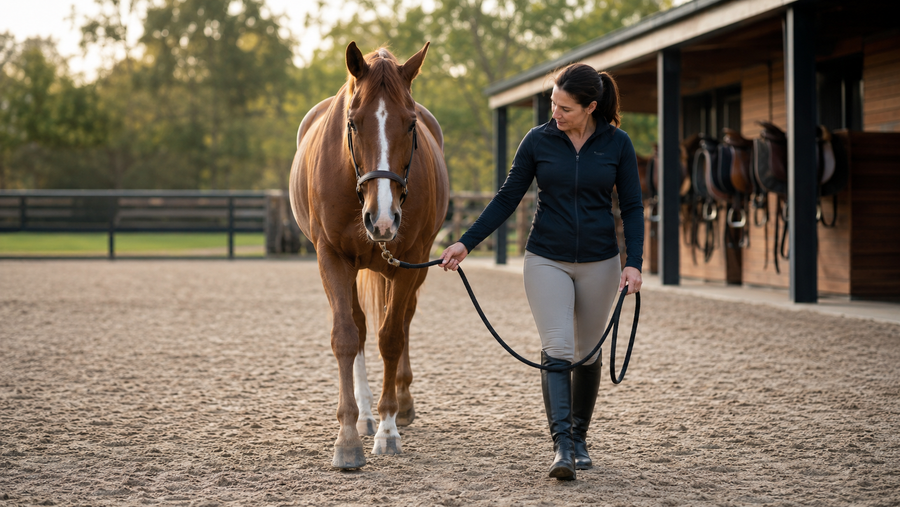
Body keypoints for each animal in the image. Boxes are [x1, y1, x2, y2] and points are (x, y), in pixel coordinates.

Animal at [289, 41, 449, 469]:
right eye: (353, 122)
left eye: (410, 124)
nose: (382, 218)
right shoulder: (331, 257)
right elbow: (347, 337)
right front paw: (347, 437)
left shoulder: (412, 259)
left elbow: (391, 337)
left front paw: (388, 430)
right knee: (360, 327)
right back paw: (363, 414)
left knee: (403, 321)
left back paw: (401, 406)